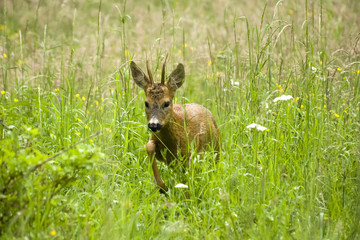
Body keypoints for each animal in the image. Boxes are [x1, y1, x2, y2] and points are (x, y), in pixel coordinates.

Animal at [129, 55, 219, 191]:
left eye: (166, 103)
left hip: (216, 150)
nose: (153, 125)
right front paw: (162, 187)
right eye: (146, 103)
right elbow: (149, 147)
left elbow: (189, 180)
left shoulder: (190, 153)